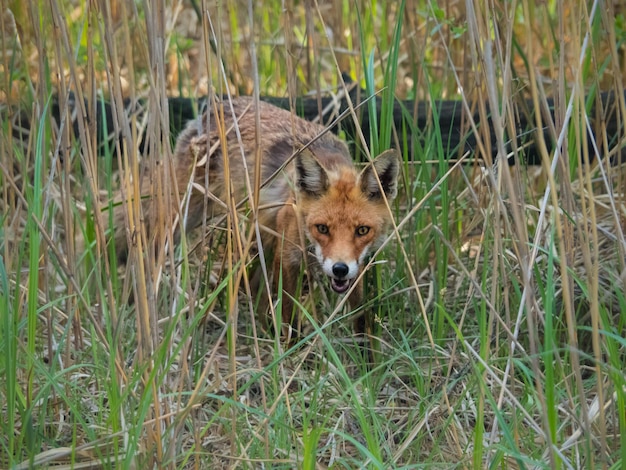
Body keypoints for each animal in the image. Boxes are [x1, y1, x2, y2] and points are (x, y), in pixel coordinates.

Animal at [112, 95, 398, 334]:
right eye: (322, 228)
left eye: (362, 230)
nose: (339, 269)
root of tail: (212, 109)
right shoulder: (288, 256)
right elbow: (290, 317)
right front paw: (290, 353)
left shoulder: (356, 264)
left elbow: (361, 318)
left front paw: (366, 362)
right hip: (180, 218)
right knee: (147, 256)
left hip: (259, 236)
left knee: (255, 287)